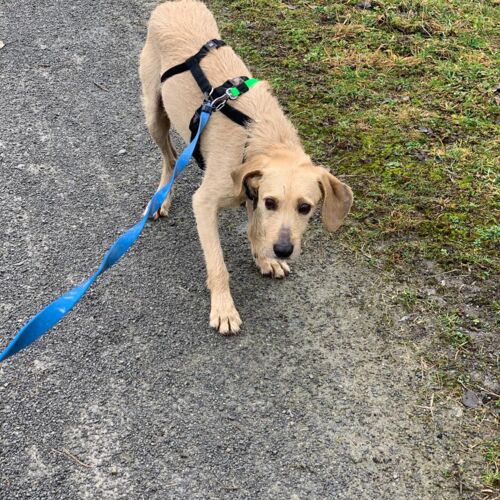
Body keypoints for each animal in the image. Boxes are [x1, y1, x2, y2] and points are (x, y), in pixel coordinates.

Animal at [139, 0, 353, 334]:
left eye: (305, 208)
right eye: (272, 202)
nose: (283, 250)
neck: (261, 137)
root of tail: (173, 4)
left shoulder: (253, 188)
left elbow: (256, 227)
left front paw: (265, 258)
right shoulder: (205, 203)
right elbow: (218, 264)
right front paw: (224, 308)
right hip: (153, 112)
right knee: (170, 157)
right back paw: (161, 197)